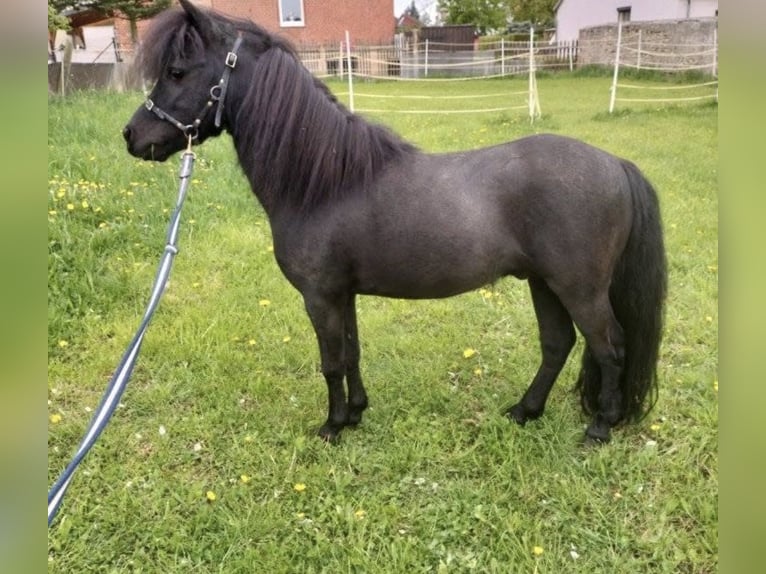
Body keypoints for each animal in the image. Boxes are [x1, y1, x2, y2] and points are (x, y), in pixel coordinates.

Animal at [123, 0, 667, 444]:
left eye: (177, 70)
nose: (131, 135)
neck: (325, 181)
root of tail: (615, 164)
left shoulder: (319, 296)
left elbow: (330, 361)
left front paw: (332, 426)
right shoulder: (342, 294)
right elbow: (351, 353)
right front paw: (356, 413)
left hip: (579, 288)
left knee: (609, 347)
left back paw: (600, 427)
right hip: (544, 283)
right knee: (558, 345)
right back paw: (524, 411)